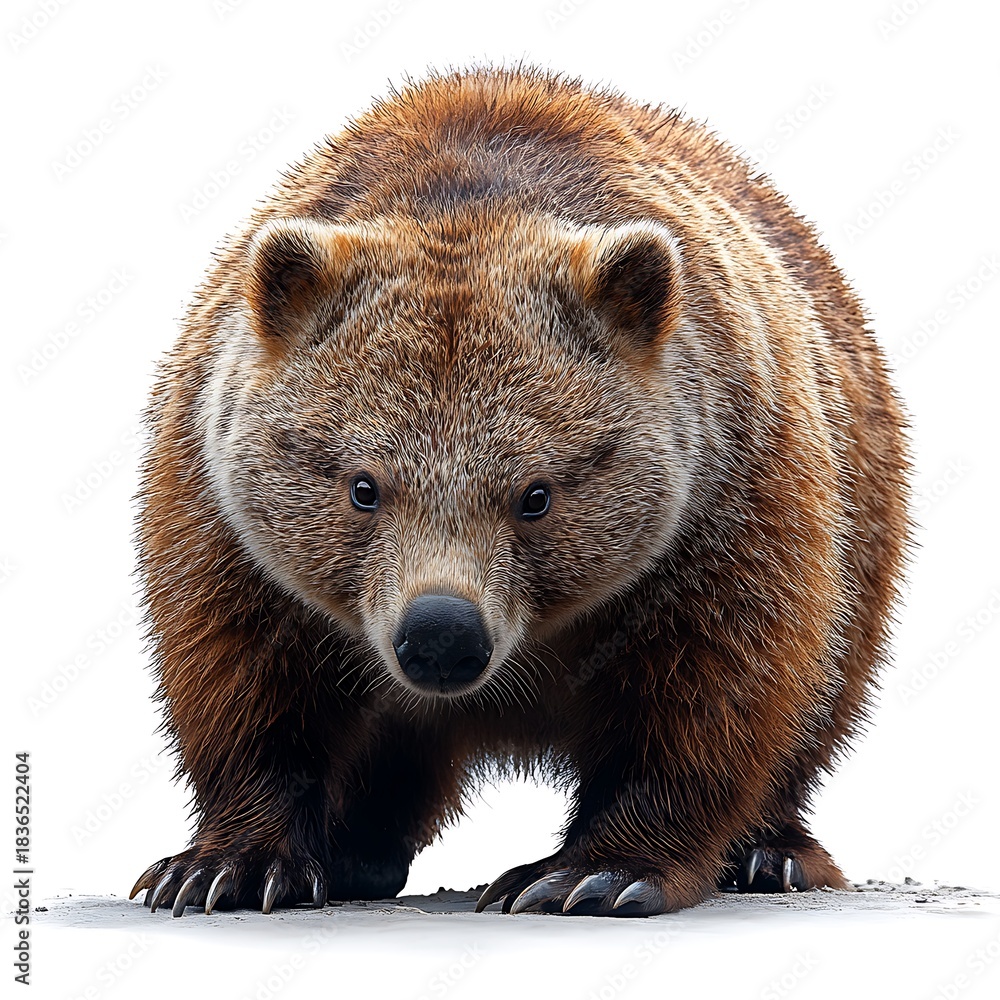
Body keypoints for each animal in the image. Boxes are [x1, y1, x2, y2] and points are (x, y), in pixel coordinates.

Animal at [130, 65, 910, 918]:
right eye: (363, 487)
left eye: (536, 494)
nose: (441, 635)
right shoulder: (223, 518)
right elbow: (246, 684)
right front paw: (227, 866)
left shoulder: (724, 503)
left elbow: (711, 690)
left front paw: (591, 873)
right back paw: (359, 848)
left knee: (817, 705)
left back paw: (774, 852)